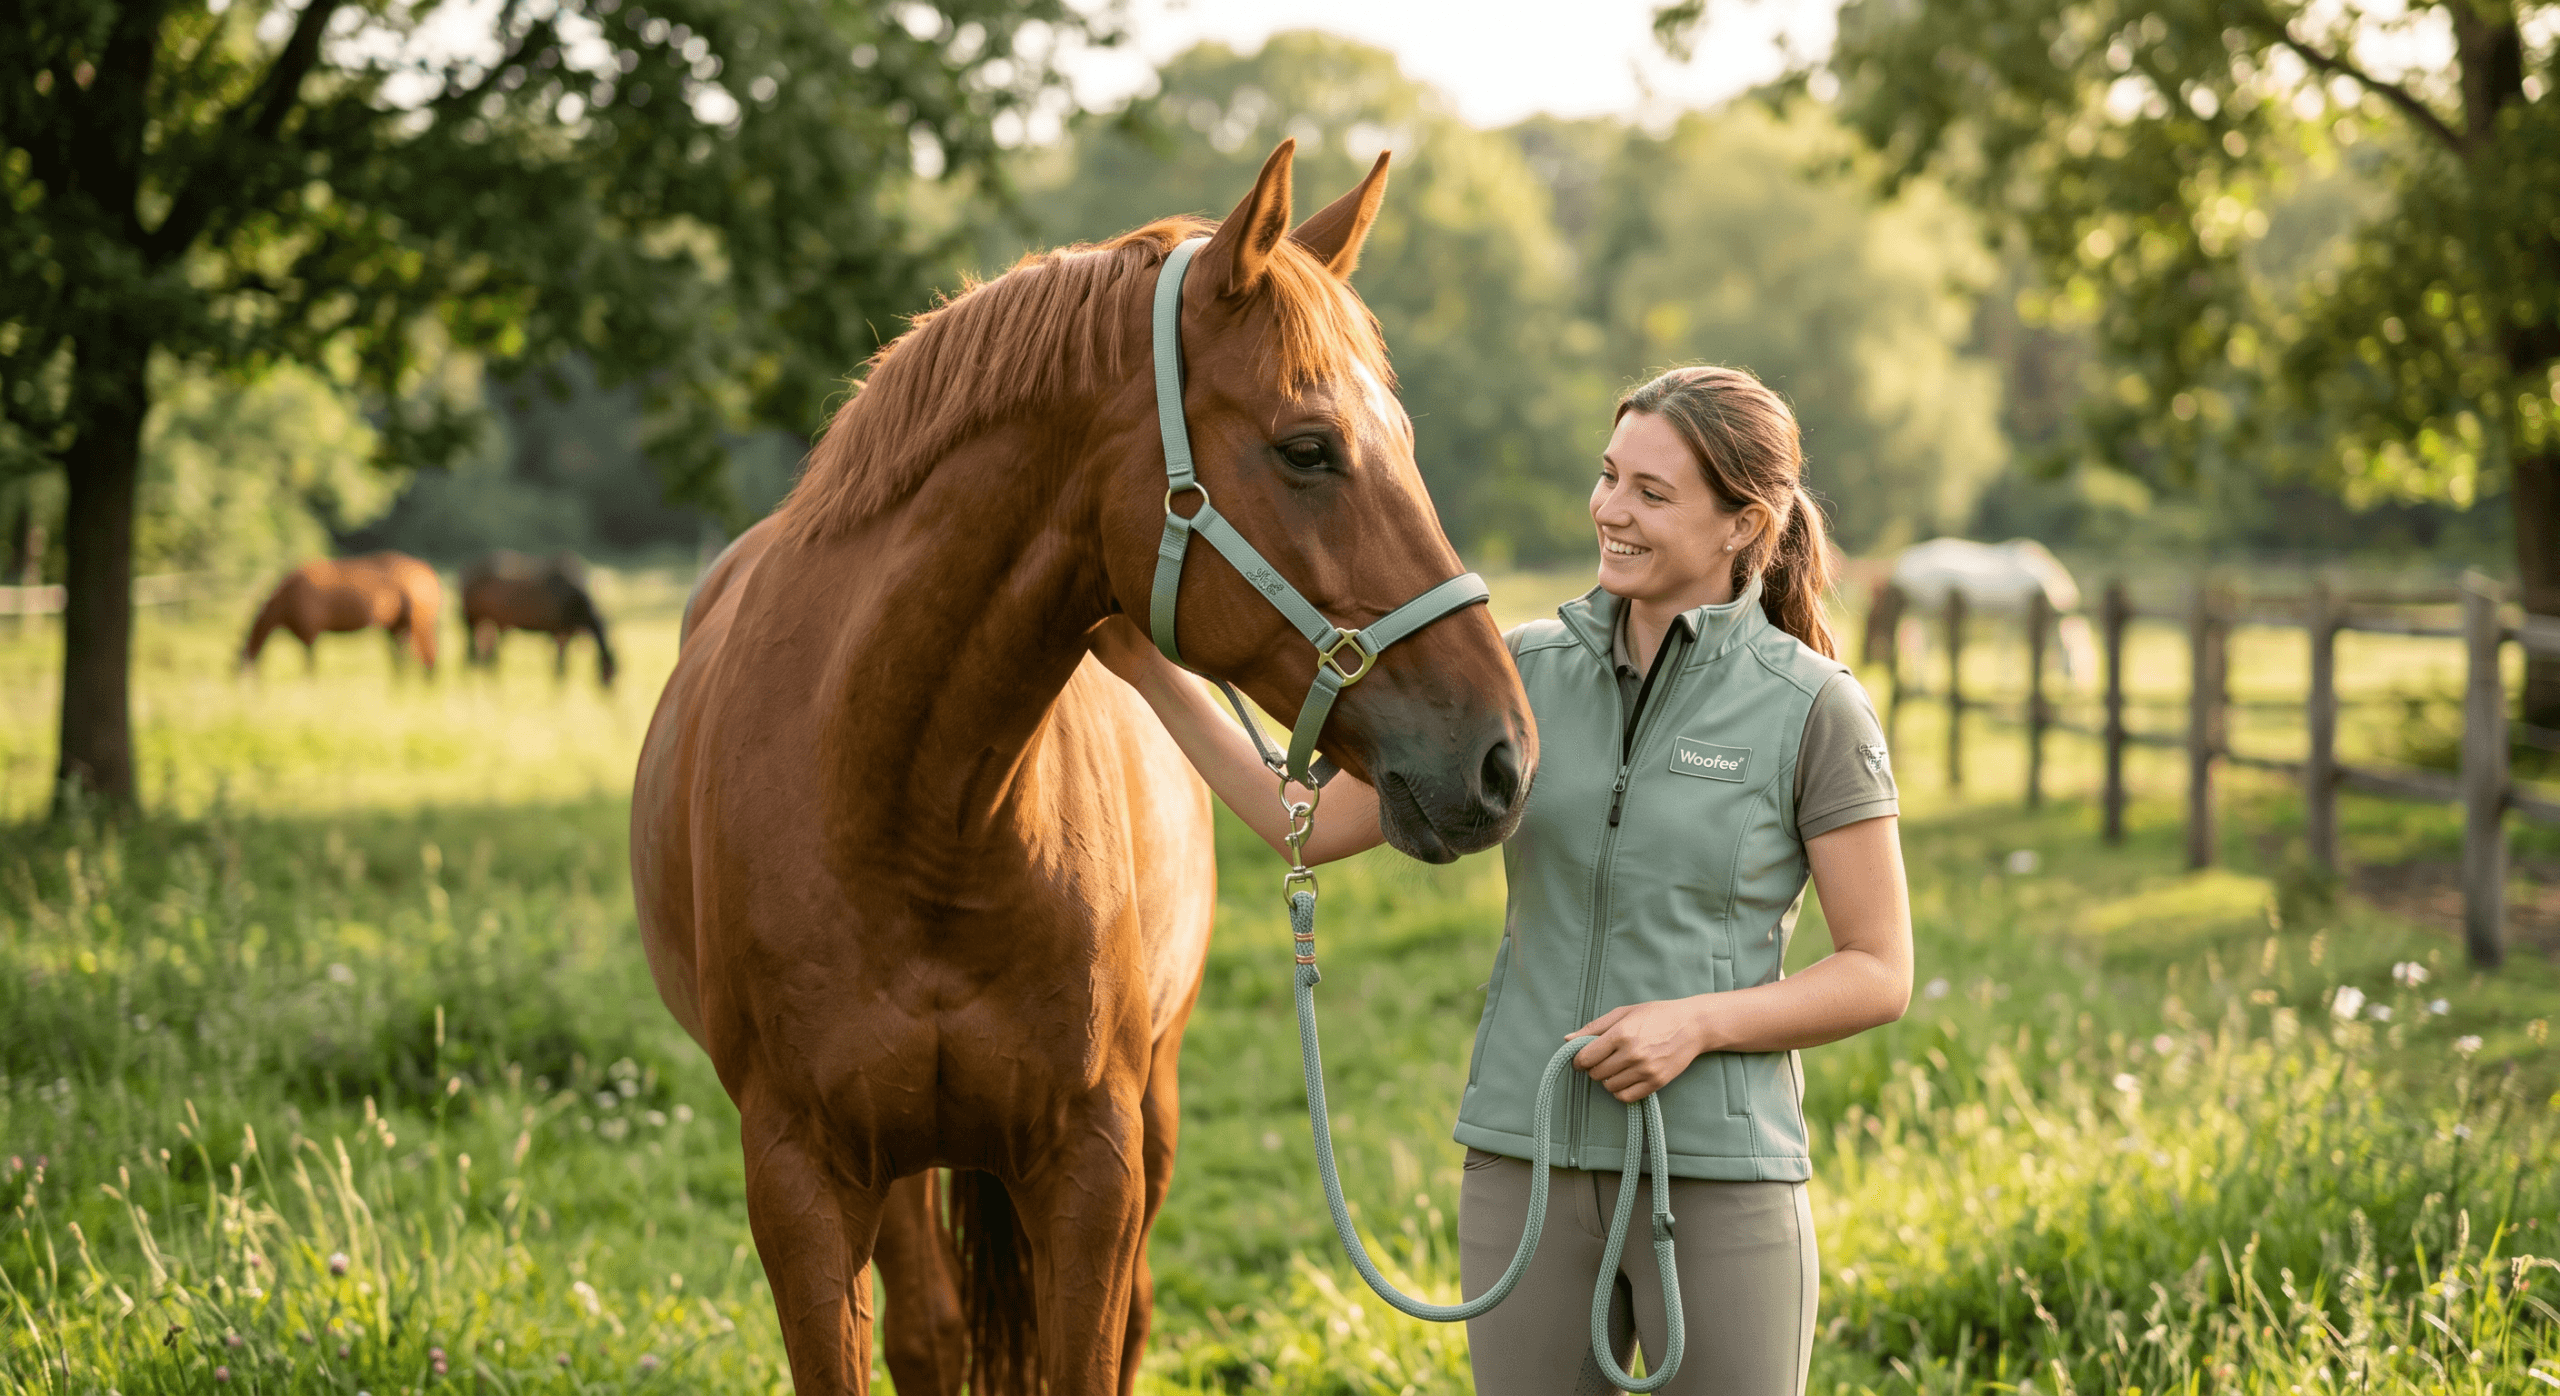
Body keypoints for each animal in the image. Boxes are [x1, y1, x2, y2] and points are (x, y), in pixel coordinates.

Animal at [240, 553, 442, 674]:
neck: (287, 597)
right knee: (405, 662)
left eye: (239, 669)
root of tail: (427, 573)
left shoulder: (309, 635)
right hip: (399, 628)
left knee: (427, 660)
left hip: (418, 626)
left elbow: (310, 667)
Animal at [460, 550, 617, 687]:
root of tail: (468, 570)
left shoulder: (565, 634)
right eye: (609, 670)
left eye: (617, 671)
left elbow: (560, 667)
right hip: (472, 619)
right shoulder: (558, 632)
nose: (610, 692)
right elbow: (559, 668)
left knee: (485, 657)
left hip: (488, 623)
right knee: (474, 656)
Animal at [630, 141, 1535, 1395]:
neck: (911, 811)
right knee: (931, 1330)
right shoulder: (800, 1177)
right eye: (1308, 448)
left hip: (1149, 1106)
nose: (1503, 756)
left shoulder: (1090, 1164)